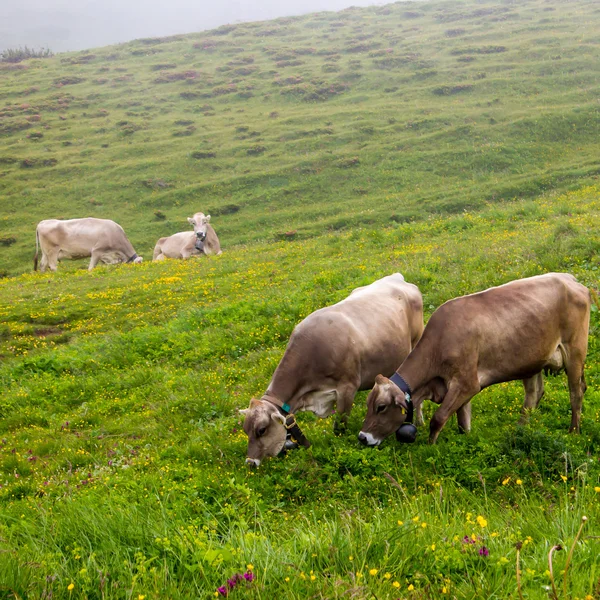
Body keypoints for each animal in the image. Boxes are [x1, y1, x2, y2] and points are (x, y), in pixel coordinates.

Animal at [237, 274, 424, 466]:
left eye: (261, 430)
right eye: (245, 429)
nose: (250, 462)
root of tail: (396, 277)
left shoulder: (347, 388)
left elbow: (339, 427)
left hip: (417, 342)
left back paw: (419, 421)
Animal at [360, 272, 592, 446]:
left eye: (381, 407)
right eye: (368, 403)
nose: (363, 437)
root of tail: (570, 279)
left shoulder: (467, 383)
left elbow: (439, 418)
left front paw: (430, 447)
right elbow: (463, 422)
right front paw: (465, 441)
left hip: (575, 351)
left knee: (576, 392)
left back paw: (573, 432)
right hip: (533, 360)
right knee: (534, 394)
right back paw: (521, 429)